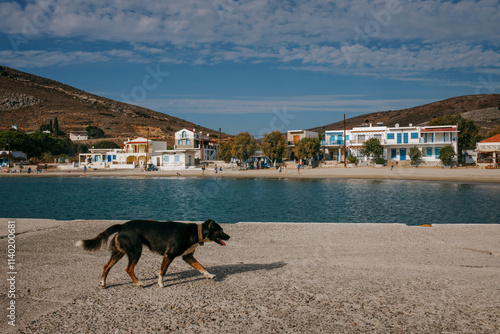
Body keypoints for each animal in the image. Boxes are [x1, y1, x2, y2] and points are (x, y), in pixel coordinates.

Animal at [75, 219, 230, 288]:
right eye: (221, 230)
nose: (229, 236)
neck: (195, 232)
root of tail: (122, 225)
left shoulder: (188, 256)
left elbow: (201, 267)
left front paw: (209, 275)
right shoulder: (169, 255)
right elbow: (162, 271)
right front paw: (160, 283)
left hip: (119, 252)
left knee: (106, 266)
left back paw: (103, 283)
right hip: (135, 251)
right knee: (129, 269)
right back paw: (138, 283)